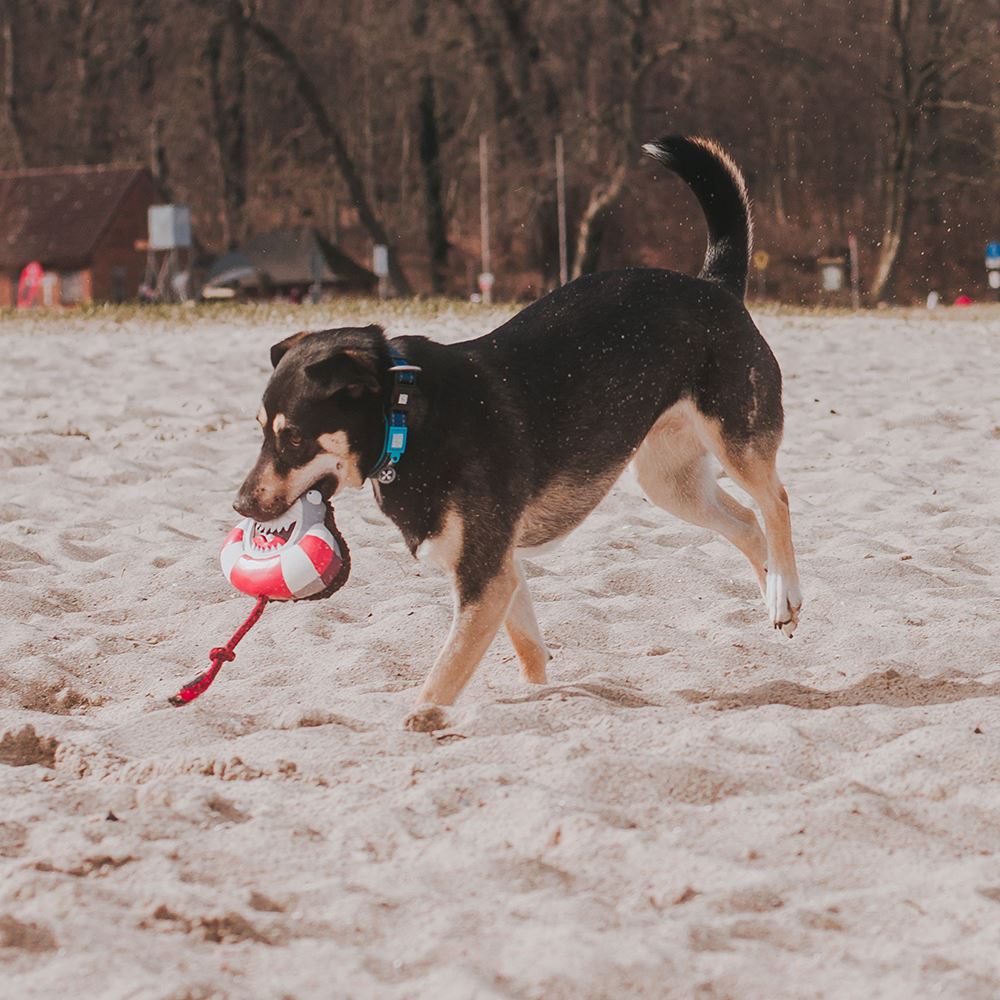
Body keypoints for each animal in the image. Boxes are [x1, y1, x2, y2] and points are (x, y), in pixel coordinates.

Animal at [236, 135, 804, 728]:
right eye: (261, 430)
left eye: (294, 438)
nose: (241, 505)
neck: (408, 419)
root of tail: (714, 286)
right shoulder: (499, 569)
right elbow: (528, 646)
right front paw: (539, 698)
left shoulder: (485, 577)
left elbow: (443, 674)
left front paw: (421, 720)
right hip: (670, 481)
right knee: (746, 522)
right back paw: (777, 600)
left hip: (735, 437)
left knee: (775, 501)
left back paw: (783, 586)